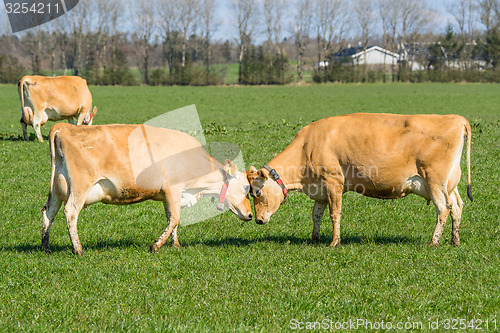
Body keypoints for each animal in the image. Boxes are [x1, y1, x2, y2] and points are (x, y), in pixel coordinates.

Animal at [42, 122, 254, 254]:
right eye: (246, 188)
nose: (251, 215)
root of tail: (64, 127)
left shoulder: (170, 195)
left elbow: (172, 219)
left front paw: (175, 244)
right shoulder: (173, 189)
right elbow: (175, 218)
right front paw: (156, 245)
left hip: (58, 189)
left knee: (48, 212)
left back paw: (46, 246)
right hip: (79, 188)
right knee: (70, 212)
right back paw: (78, 249)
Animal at [248, 113, 474, 246]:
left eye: (257, 192)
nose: (257, 220)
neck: (307, 146)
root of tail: (456, 118)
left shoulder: (333, 182)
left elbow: (335, 213)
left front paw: (334, 242)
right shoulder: (320, 189)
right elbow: (316, 215)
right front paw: (315, 239)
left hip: (435, 180)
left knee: (443, 208)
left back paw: (434, 242)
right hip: (449, 183)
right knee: (457, 206)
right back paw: (454, 240)